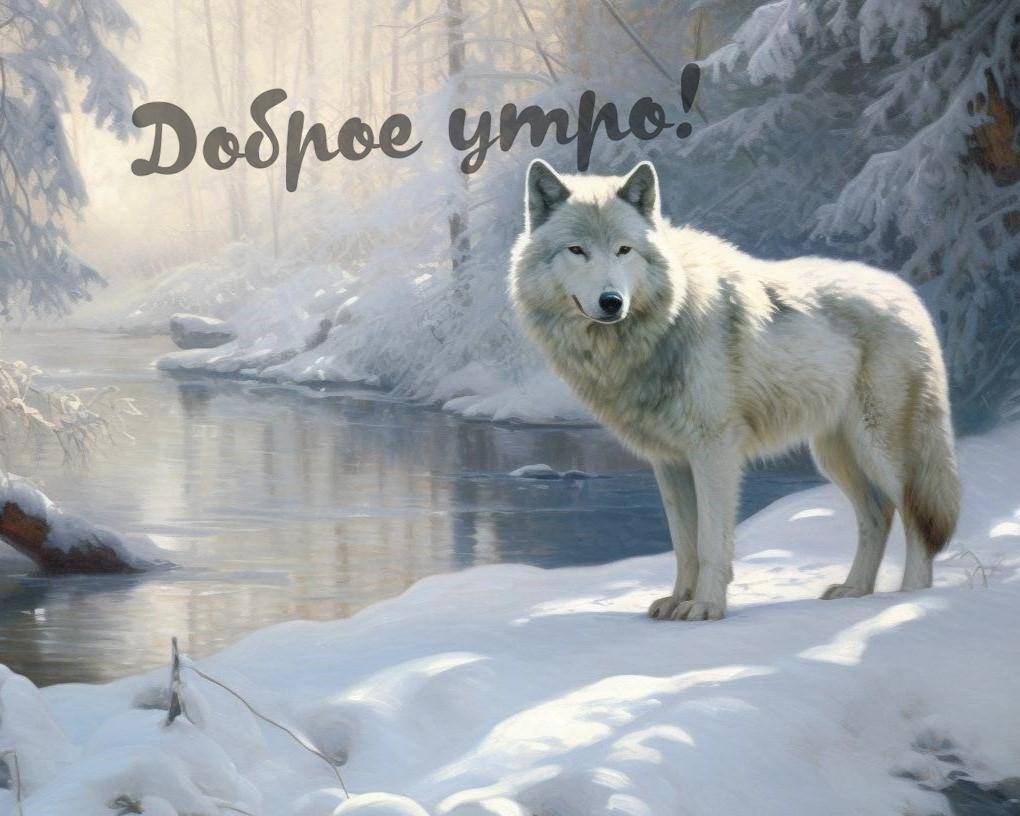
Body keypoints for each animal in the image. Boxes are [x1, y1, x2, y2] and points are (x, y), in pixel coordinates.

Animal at [509, 160, 961, 620]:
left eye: (624, 250)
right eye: (576, 250)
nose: (612, 301)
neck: (668, 321)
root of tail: (907, 294)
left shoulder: (715, 451)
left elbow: (711, 543)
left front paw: (706, 607)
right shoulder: (670, 462)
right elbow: (684, 546)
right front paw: (678, 600)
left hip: (881, 449)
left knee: (915, 518)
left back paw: (910, 599)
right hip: (835, 454)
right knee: (878, 515)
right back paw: (855, 591)